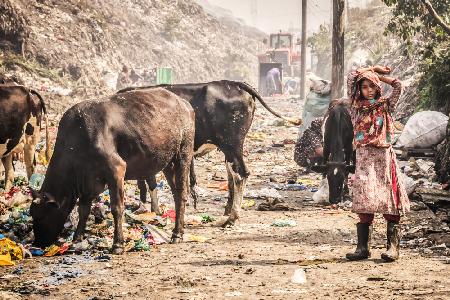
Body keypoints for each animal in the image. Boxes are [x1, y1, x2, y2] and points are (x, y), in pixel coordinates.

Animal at [29, 88, 195, 253]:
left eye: (41, 216)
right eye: (32, 215)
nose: (37, 243)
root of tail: (184, 103)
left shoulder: (116, 169)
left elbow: (116, 208)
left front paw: (117, 244)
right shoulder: (87, 181)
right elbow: (83, 210)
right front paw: (76, 240)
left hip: (183, 154)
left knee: (181, 193)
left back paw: (177, 234)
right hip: (168, 163)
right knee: (175, 194)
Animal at [118, 81, 300, 226]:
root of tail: (235, 84)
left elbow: (145, 183)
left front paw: (145, 209)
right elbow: (150, 182)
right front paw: (152, 210)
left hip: (231, 144)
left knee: (240, 175)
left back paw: (232, 217)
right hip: (229, 149)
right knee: (232, 177)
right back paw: (227, 212)